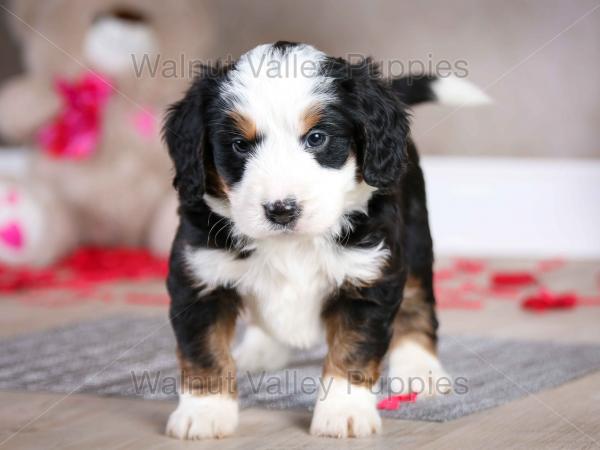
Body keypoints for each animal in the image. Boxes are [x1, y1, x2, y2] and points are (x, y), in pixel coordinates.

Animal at [163, 41, 488, 440]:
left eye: (317, 138)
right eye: (239, 145)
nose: (281, 210)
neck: (292, 243)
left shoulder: (367, 278)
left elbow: (353, 349)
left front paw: (343, 410)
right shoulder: (199, 276)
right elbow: (203, 349)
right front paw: (204, 411)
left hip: (415, 236)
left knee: (417, 302)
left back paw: (418, 369)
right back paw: (261, 349)